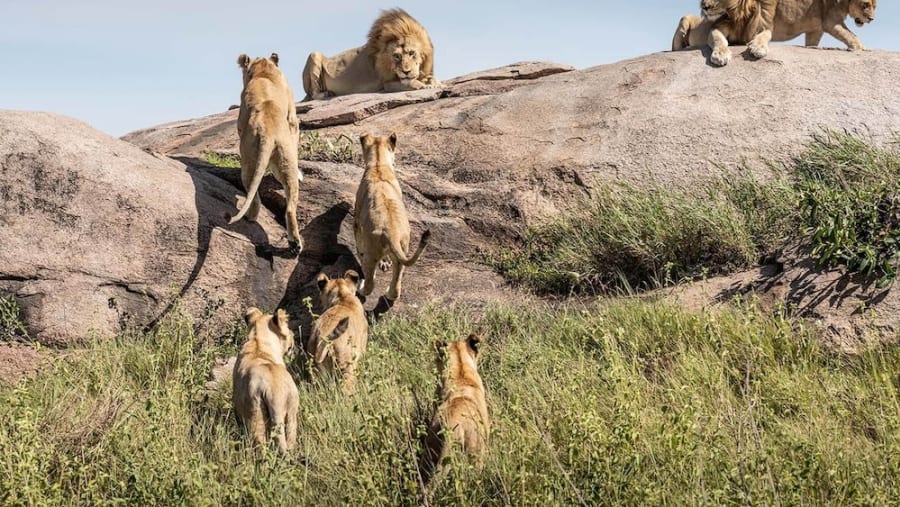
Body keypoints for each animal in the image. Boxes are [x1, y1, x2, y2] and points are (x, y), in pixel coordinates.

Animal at [232, 53, 303, 255]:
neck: (264, 71)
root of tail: (268, 132)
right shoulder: (293, 120)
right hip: (284, 158)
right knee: (288, 206)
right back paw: (294, 243)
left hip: (249, 160)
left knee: (254, 195)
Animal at [232, 307, 299, 455]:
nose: (293, 335)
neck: (258, 343)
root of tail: (275, 392)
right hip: (292, 411)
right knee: (290, 440)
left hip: (256, 414)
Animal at [301, 8, 441, 100]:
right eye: (396, 56)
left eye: (412, 53)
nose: (406, 72)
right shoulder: (387, 84)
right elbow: (411, 83)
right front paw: (423, 86)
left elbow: (431, 78)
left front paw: (435, 83)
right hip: (314, 54)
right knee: (314, 95)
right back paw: (326, 93)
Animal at [354, 132, 430, 301]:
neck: (378, 165)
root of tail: (392, 234)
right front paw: (385, 263)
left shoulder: (357, 219)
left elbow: (358, 244)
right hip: (403, 250)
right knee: (396, 286)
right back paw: (389, 293)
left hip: (372, 253)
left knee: (370, 283)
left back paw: (361, 287)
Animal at [672, 0, 875, 58]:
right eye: (866, 5)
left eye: (872, 5)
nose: (872, 19)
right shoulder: (830, 21)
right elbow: (718, 39)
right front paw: (721, 55)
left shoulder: (816, 28)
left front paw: (758, 48)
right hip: (684, 20)